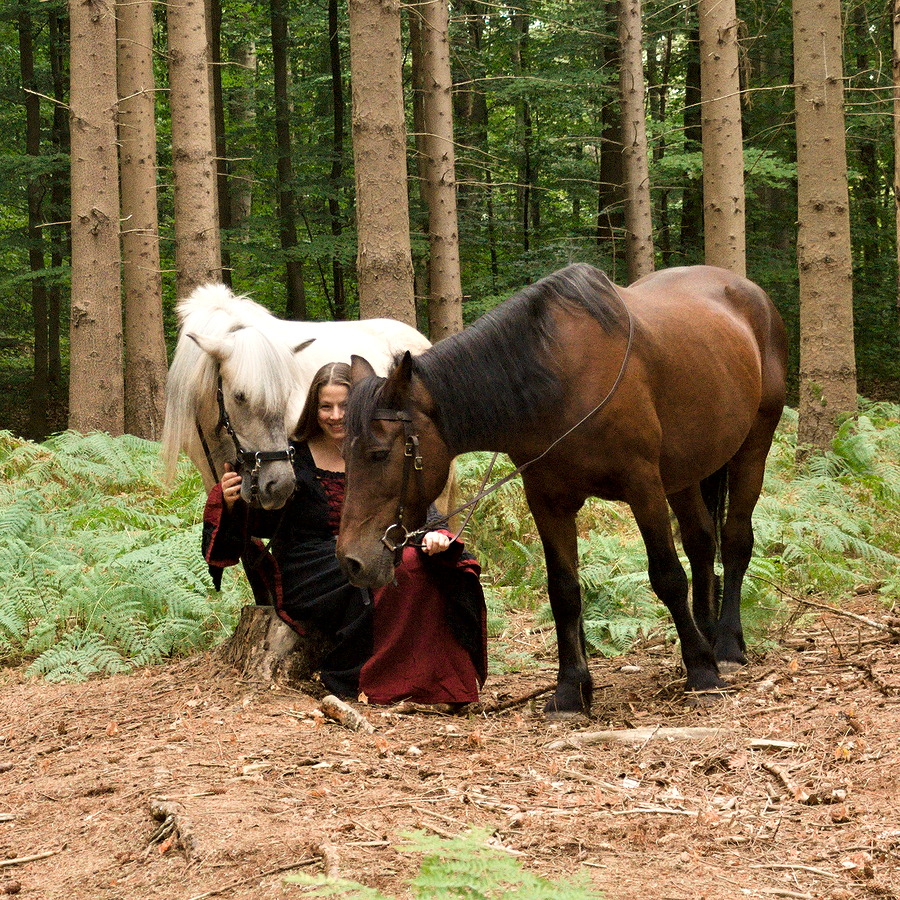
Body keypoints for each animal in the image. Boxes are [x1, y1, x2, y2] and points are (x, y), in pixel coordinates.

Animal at [338, 262, 788, 716]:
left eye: (378, 454)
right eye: (344, 453)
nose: (351, 561)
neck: (558, 381)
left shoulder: (643, 486)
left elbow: (667, 577)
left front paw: (702, 672)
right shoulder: (547, 501)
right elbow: (564, 591)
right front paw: (571, 689)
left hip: (752, 447)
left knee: (734, 541)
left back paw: (726, 647)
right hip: (685, 473)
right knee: (701, 542)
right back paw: (708, 635)